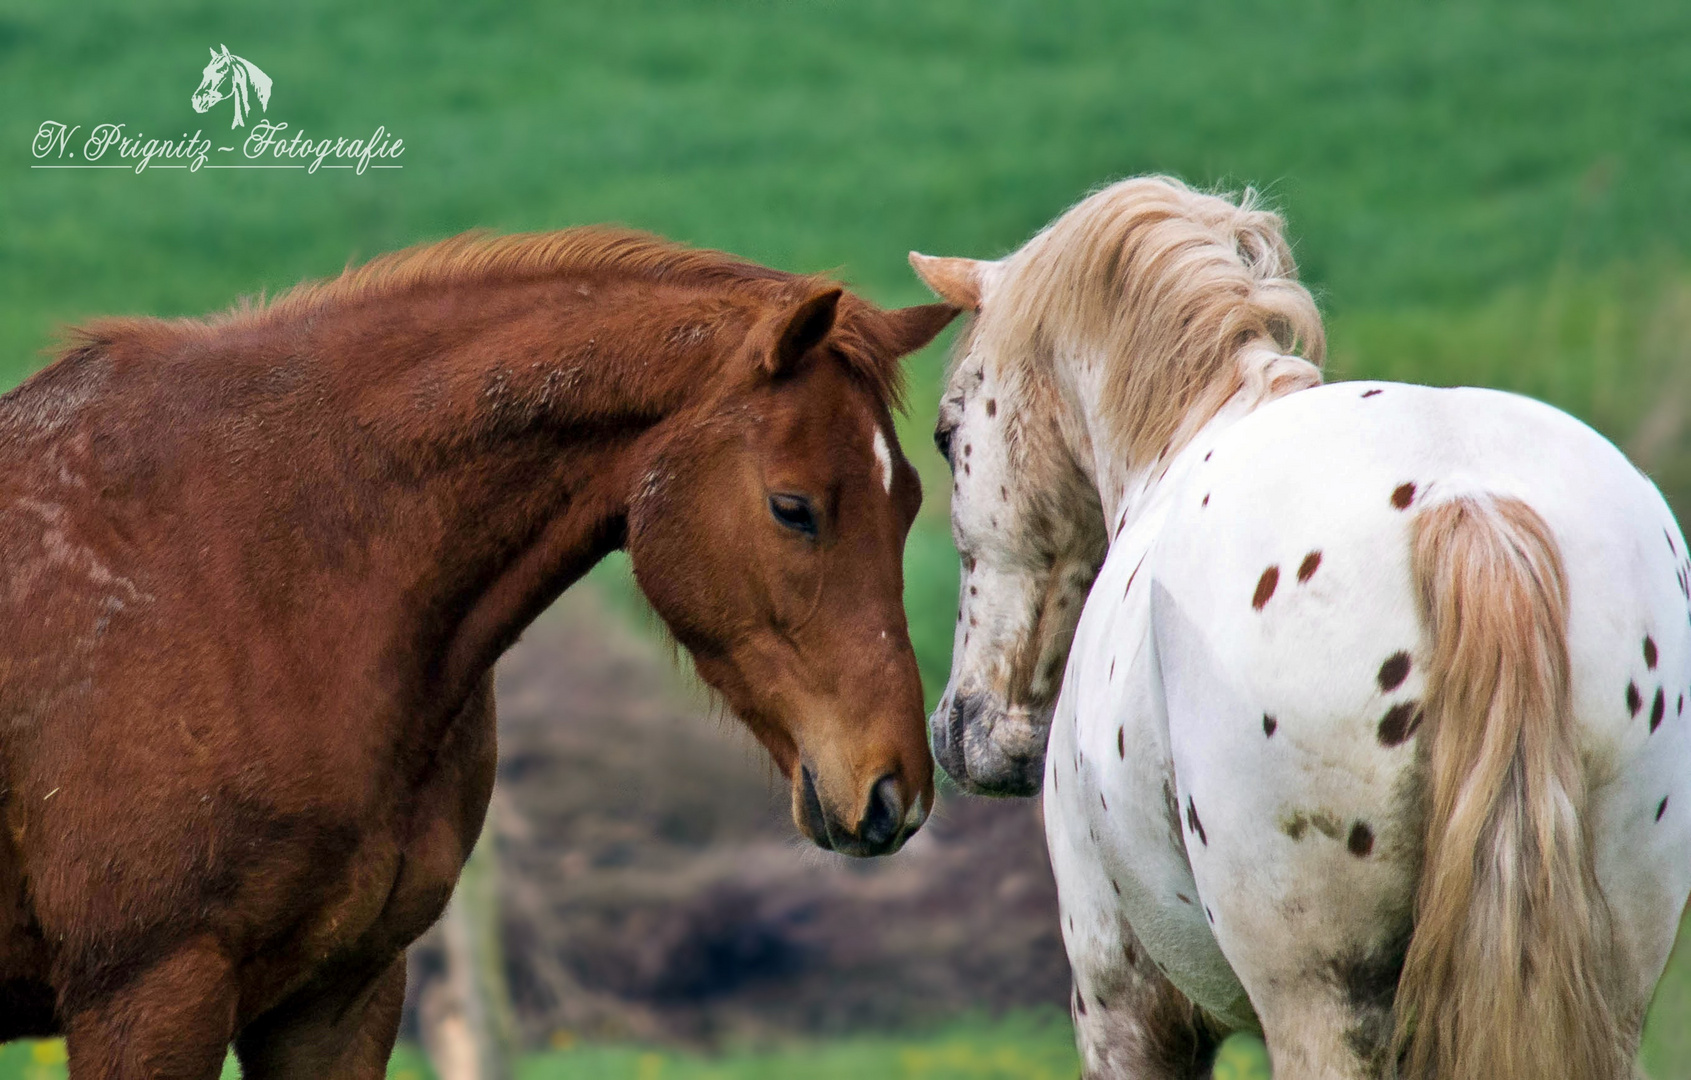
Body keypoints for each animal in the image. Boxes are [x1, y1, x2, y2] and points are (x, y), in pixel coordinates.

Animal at [0, 229, 953, 1080]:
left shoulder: (340, 997)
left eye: (911, 500)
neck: (251, 574)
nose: (893, 791)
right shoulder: (150, 996)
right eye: (793, 508)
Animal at [913, 173, 1691, 1074]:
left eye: (945, 437)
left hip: (1316, 1001)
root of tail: (1467, 503)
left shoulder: (1120, 998)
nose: (961, 730)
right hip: (1607, 994)